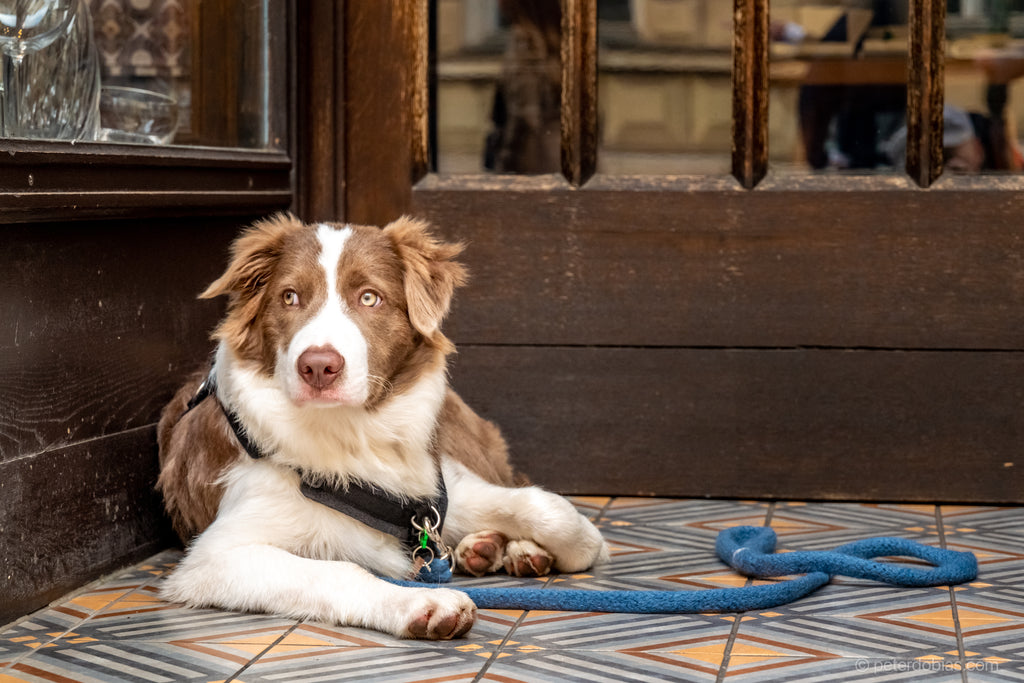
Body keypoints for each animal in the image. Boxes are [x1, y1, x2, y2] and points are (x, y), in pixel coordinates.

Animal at [155, 215, 606, 643]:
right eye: (289, 297)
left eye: (370, 297)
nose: (318, 366)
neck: (352, 432)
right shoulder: (215, 556)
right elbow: (338, 571)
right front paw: (422, 605)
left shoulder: (432, 493)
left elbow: (543, 505)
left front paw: (590, 545)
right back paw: (482, 547)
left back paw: (512, 549)